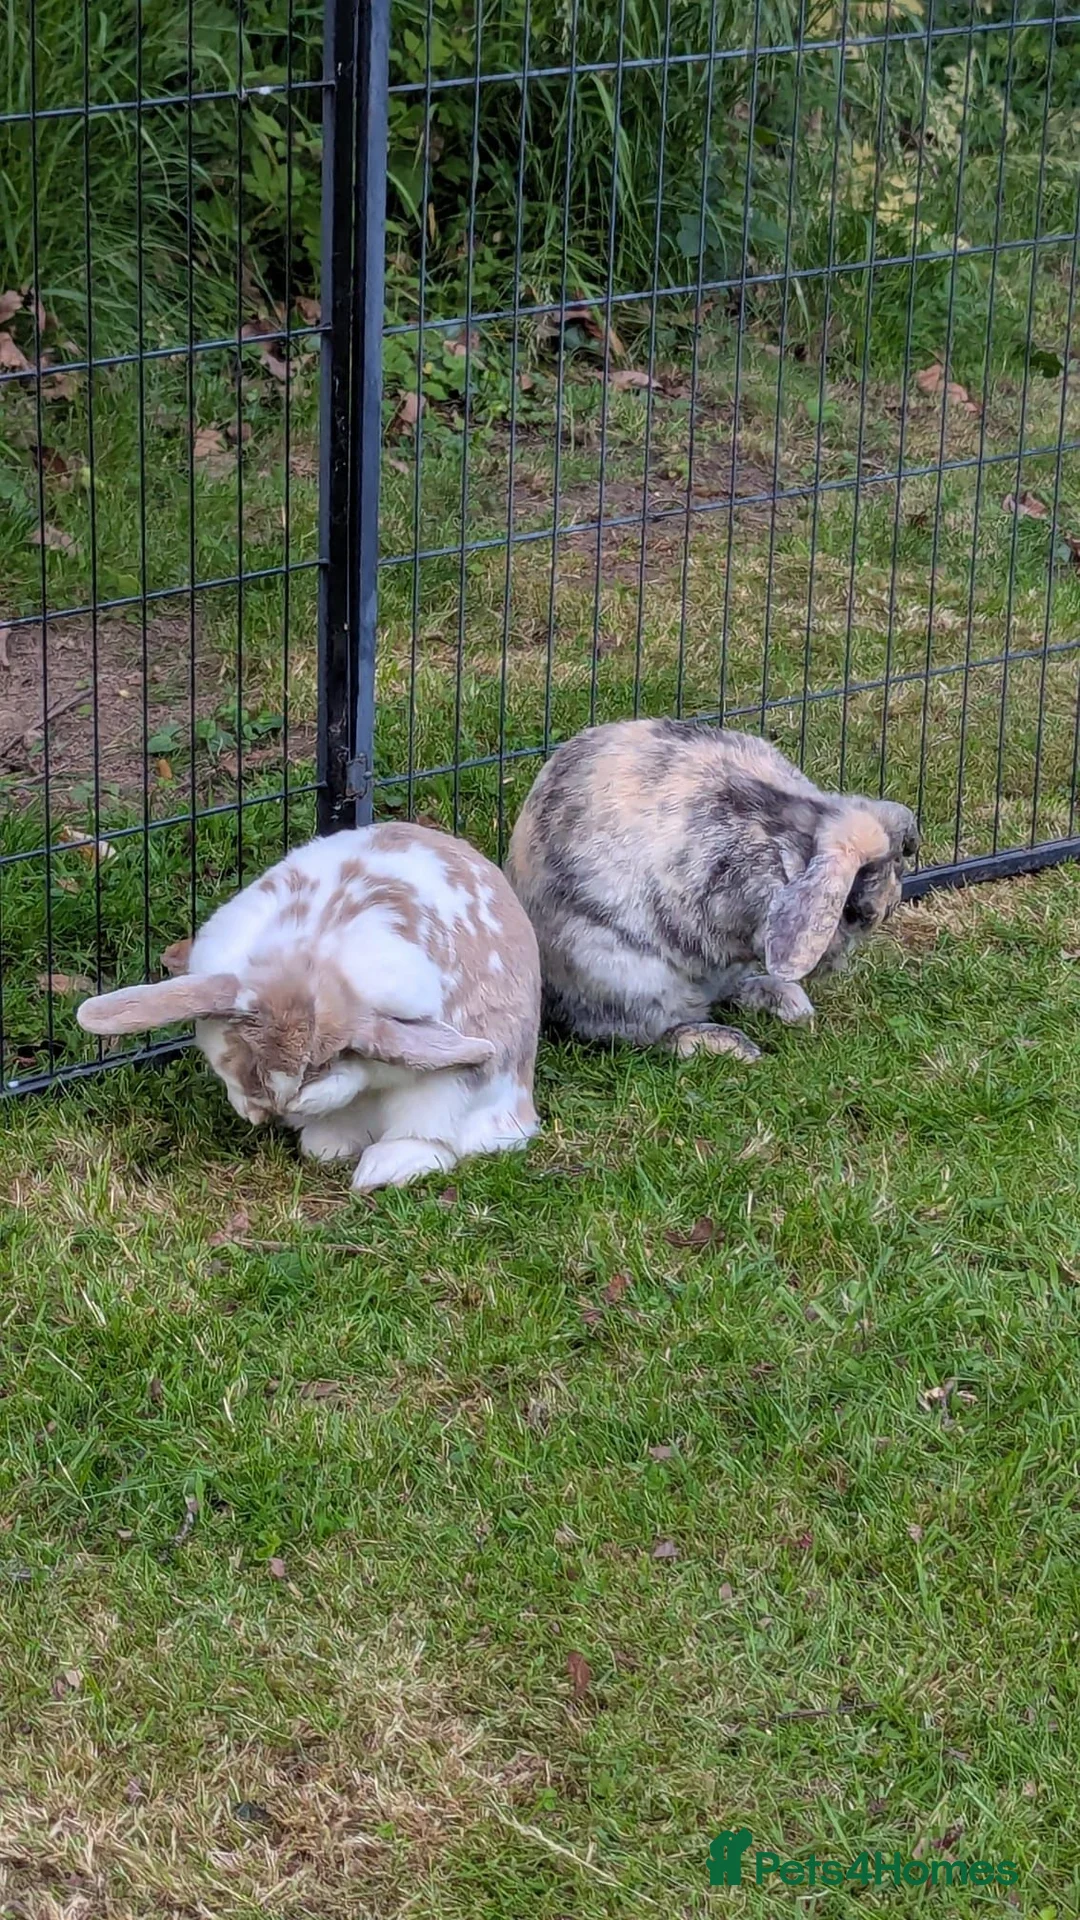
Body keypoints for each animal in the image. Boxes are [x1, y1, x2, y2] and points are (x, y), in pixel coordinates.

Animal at [77, 822, 541, 1190]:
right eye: (250, 1050)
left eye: (322, 1062)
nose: (279, 1102)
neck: (308, 961)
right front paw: (252, 1108)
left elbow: (357, 1073)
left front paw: (303, 1102)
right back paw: (330, 1145)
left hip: (451, 1094)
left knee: (435, 1137)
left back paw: (381, 1169)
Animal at [505, 718, 918, 1059]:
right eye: (852, 912)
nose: (833, 965)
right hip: (624, 978)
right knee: (646, 1035)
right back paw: (733, 1046)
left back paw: (786, 1001)